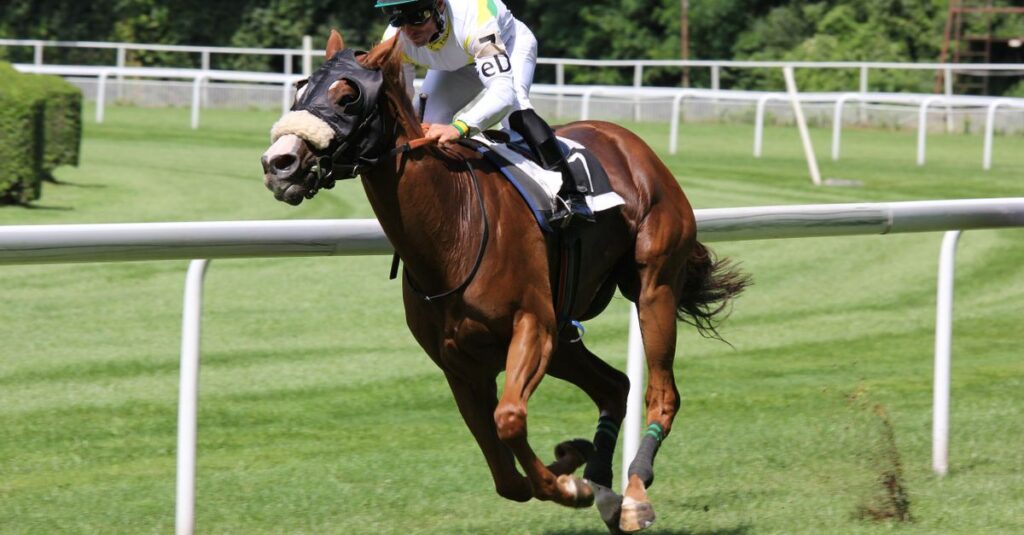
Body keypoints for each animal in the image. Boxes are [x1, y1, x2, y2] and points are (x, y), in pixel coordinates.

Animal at [260, 31, 748, 534]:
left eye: (348, 96)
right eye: (300, 90)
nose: (279, 163)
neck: (452, 227)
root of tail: (631, 143)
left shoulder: (532, 327)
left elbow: (510, 419)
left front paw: (570, 485)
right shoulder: (459, 363)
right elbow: (506, 476)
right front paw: (573, 466)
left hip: (653, 287)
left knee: (662, 393)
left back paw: (633, 494)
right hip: (565, 335)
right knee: (614, 386)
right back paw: (604, 488)